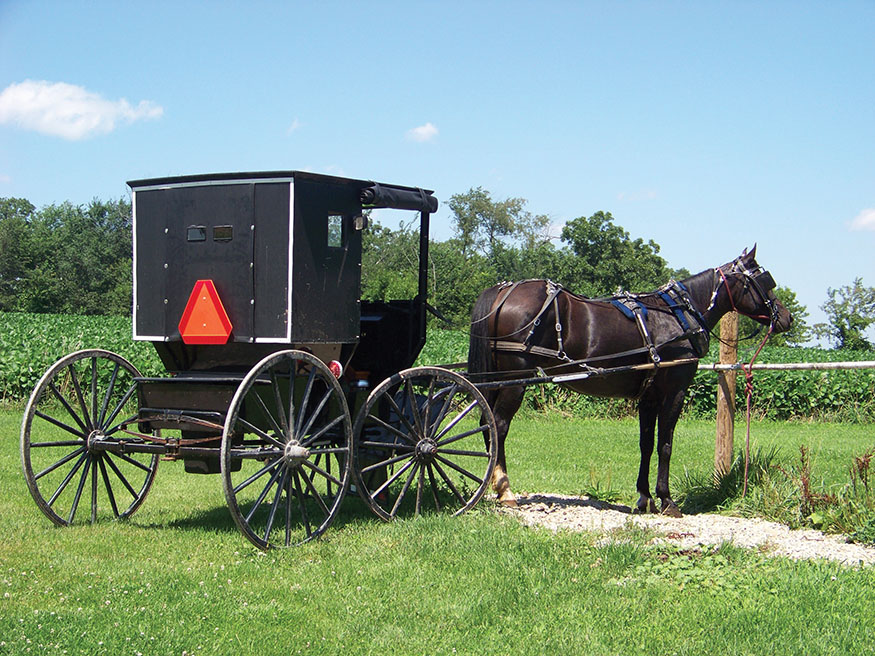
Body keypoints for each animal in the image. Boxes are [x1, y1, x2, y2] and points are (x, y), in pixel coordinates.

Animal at [472, 247, 792, 516]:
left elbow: (646, 444)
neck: (678, 315)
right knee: (498, 425)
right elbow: (665, 444)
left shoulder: (649, 396)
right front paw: (667, 500)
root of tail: (504, 291)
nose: (786, 318)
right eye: (765, 281)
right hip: (515, 381)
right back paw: (505, 490)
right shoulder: (674, 391)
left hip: (498, 380)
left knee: (488, 424)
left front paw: (644, 498)